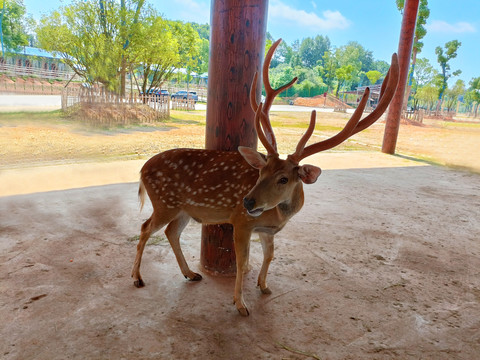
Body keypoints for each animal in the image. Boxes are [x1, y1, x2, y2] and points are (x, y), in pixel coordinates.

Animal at [131, 38, 398, 316]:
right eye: (261, 172)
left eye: (284, 179)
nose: (248, 201)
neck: (280, 215)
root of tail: (142, 169)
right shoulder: (240, 221)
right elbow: (242, 262)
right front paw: (241, 305)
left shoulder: (267, 230)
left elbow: (270, 255)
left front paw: (264, 286)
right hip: (165, 202)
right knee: (145, 227)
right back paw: (137, 278)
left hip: (183, 209)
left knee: (171, 232)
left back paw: (190, 273)